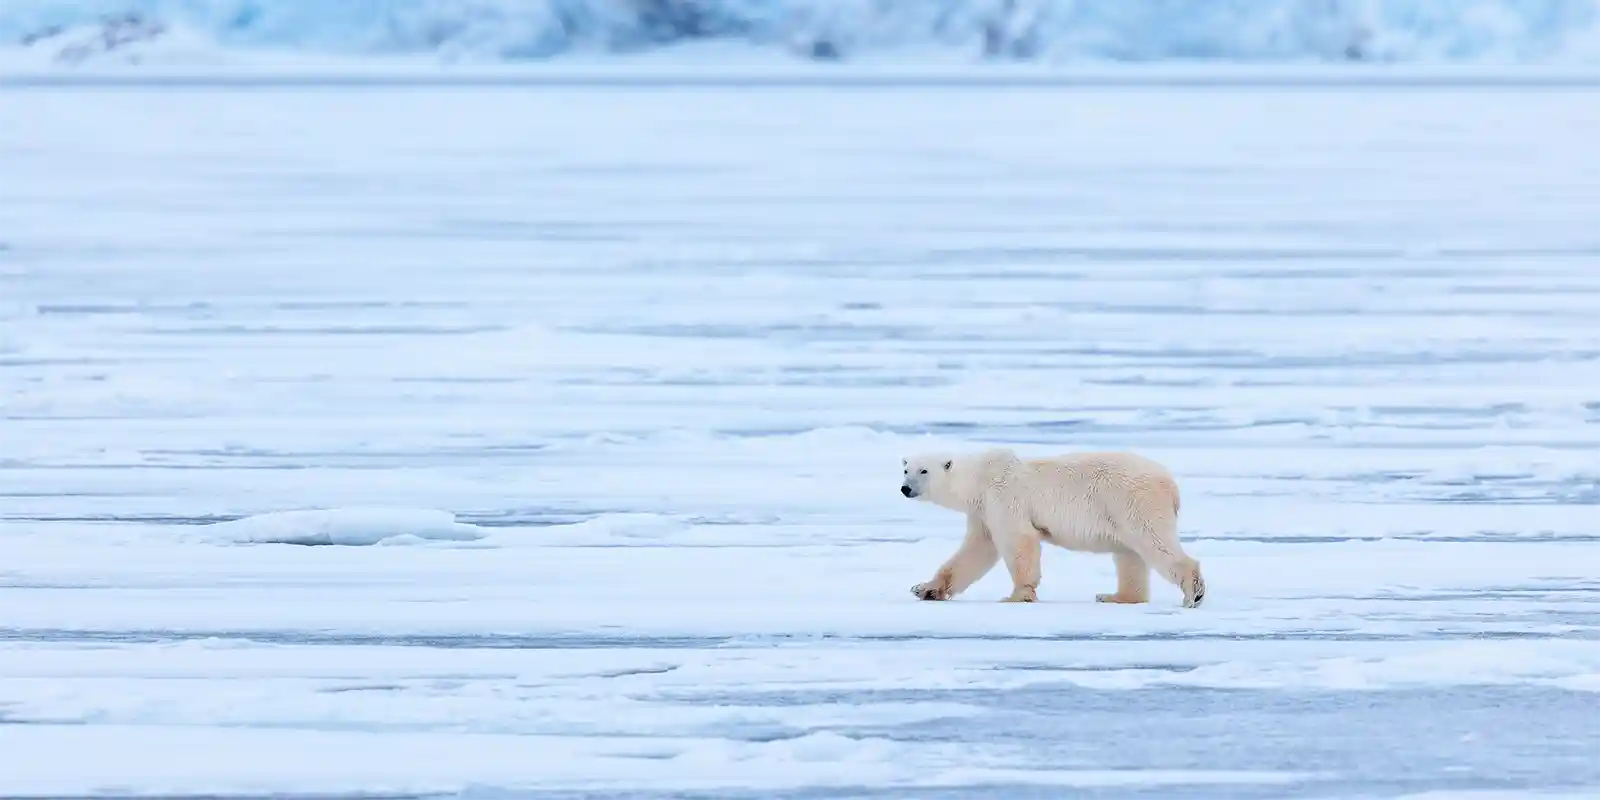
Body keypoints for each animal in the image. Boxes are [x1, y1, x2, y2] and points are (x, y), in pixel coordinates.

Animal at [899, 447, 1205, 608]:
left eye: (924, 470)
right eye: (905, 469)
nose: (905, 489)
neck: (978, 479)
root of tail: (1171, 484)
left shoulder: (1004, 497)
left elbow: (1019, 541)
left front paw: (1016, 595)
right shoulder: (983, 512)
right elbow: (976, 552)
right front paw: (925, 589)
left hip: (1134, 502)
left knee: (1153, 542)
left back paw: (1193, 592)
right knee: (1130, 555)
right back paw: (1115, 596)